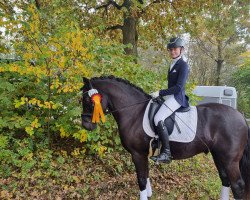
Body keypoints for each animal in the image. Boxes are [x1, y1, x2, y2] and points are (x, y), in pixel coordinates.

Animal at [80, 75, 250, 200]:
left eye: (88, 100)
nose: (86, 125)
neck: (134, 112)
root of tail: (241, 116)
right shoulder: (143, 154)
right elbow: (146, 177)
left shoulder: (137, 154)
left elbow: (141, 180)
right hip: (218, 155)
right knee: (225, 180)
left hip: (230, 160)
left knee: (237, 185)